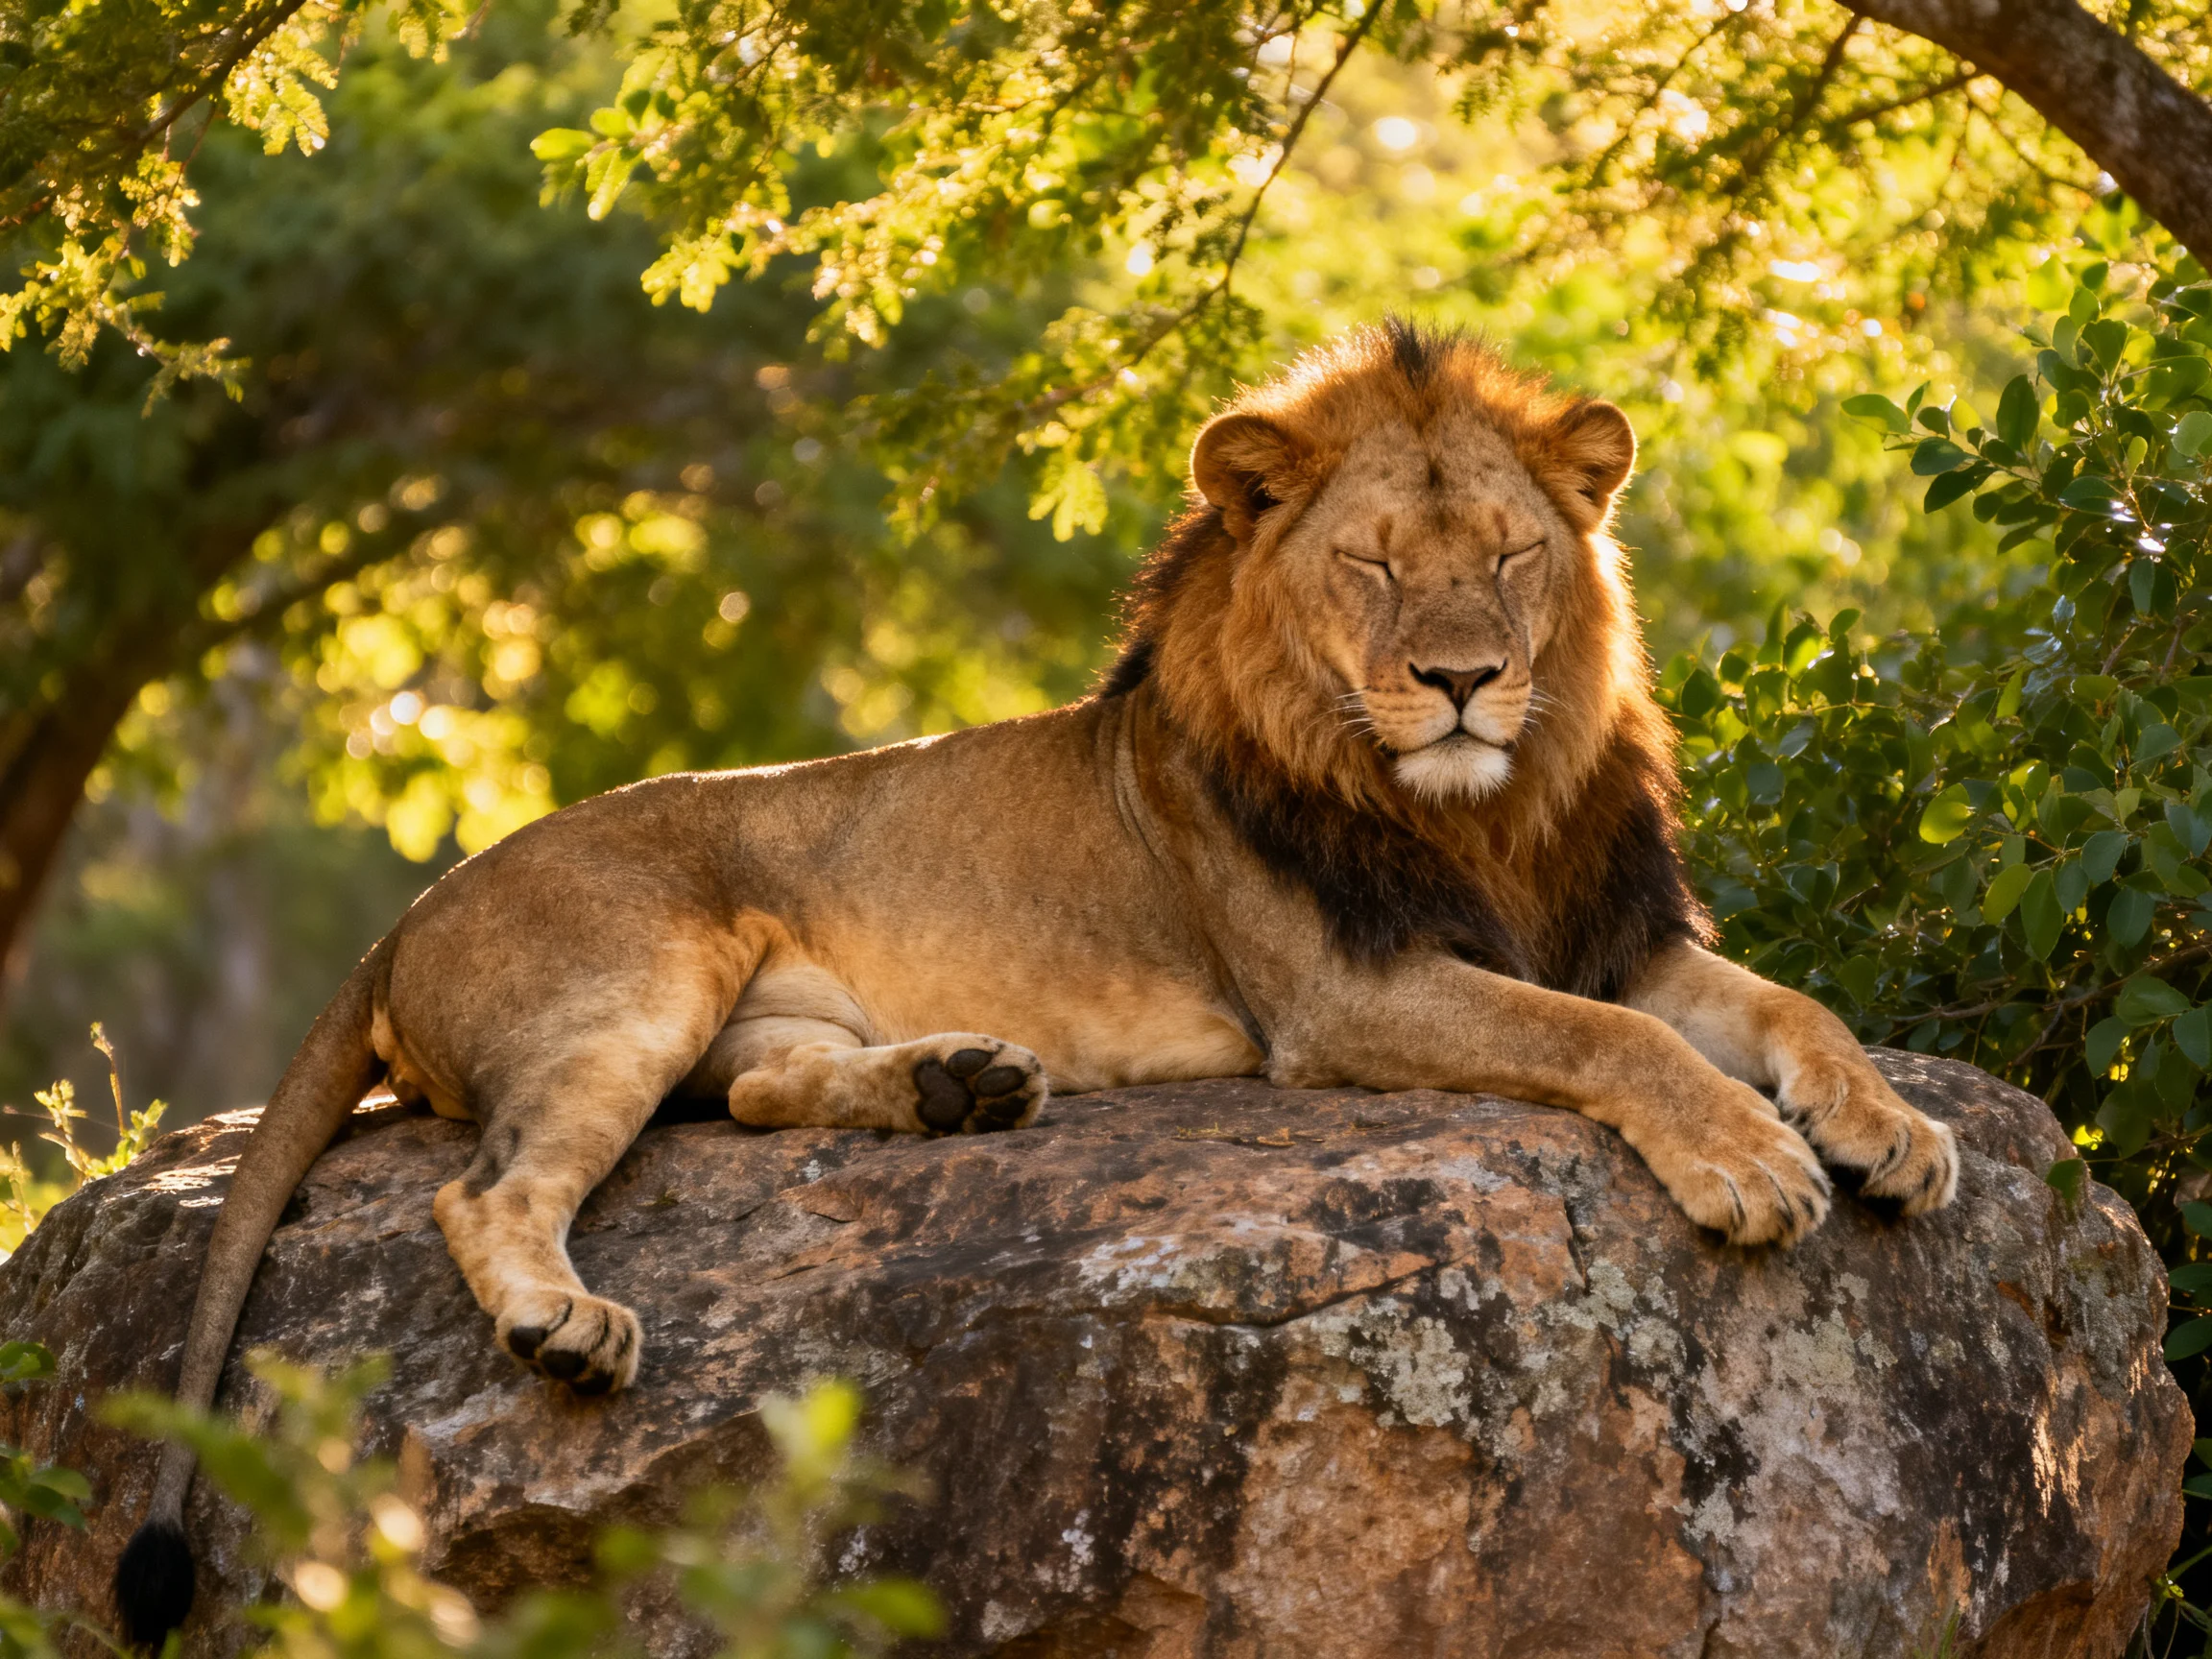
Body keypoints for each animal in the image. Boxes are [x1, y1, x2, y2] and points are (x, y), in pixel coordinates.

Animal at [115, 320, 1956, 1642]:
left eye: (1507, 555)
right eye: (1371, 564)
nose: (1460, 681)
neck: (1482, 809)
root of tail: (414, 902)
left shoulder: (1614, 929)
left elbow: (1788, 1009)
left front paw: (1890, 1130)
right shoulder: (1341, 994)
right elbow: (1608, 1044)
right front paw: (1749, 1159)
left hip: (738, 1011)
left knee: (758, 1090)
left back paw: (962, 1085)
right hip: (630, 978)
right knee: (490, 1186)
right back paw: (563, 1323)